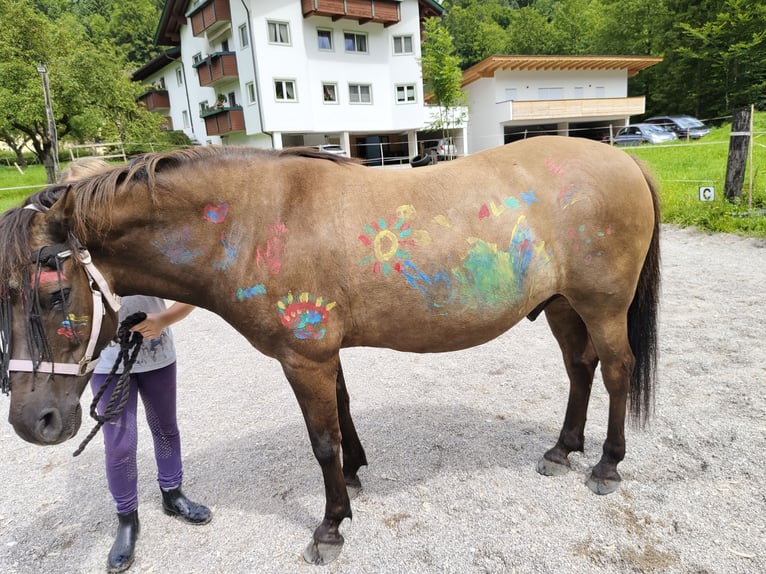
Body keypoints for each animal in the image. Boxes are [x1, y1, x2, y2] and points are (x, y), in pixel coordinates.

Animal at [0, 136, 660, 565]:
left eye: (54, 293)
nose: (35, 421)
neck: (252, 219)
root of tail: (626, 158)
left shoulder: (305, 357)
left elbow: (321, 441)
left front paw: (330, 526)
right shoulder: (323, 353)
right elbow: (340, 420)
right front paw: (355, 473)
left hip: (600, 306)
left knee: (616, 370)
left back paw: (606, 464)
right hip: (562, 305)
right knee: (580, 368)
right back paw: (562, 448)